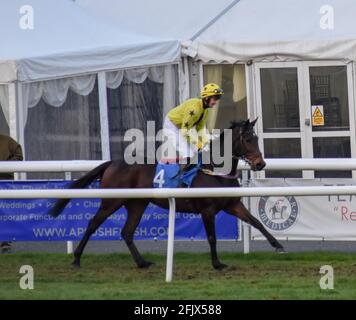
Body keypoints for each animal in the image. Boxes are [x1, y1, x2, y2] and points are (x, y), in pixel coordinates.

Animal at [49, 119, 286, 270]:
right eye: (247, 140)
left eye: (256, 138)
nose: (260, 164)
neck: (215, 171)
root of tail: (112, 163)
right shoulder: (207, 210)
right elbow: (211, 237)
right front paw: (218, 264)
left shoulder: (232, 205)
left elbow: (256, 222)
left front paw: (278, 245)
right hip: (112, 201)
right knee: (93, 224)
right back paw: (77, 259)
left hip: (137, 204)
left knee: (127, 232)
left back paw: (142, 263)